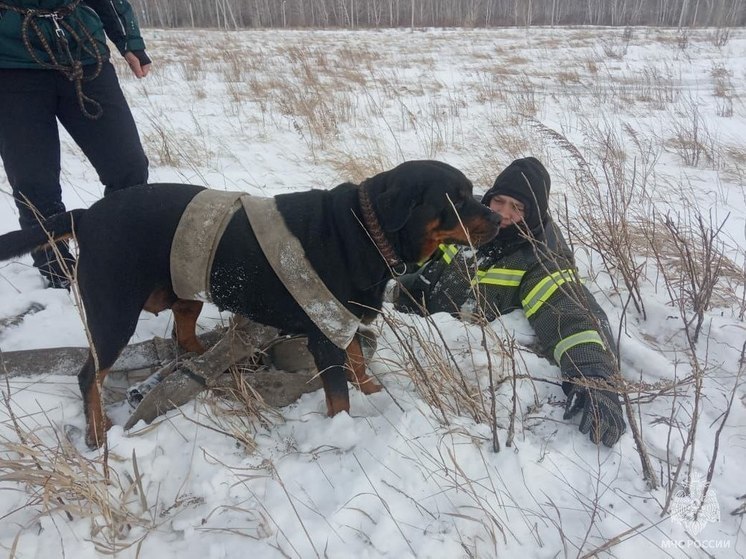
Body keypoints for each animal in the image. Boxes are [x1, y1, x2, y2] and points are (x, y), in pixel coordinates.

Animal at [2, 160, 500, 448]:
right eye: (456, 198)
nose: (498, 217)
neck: (363, 230)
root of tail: (87, 215)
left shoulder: (342, 319)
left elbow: (359, 362)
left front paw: (376, 393)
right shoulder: (324, 333)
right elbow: (339, 393)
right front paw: (345, 432)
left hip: (186, 286)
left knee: (184, 332)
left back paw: (208, 367)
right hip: (113, 311)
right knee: (90, 375)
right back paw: (97, 430)